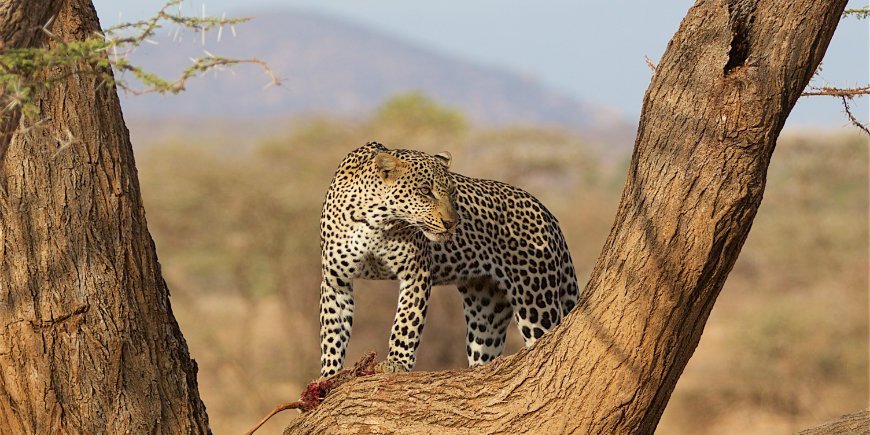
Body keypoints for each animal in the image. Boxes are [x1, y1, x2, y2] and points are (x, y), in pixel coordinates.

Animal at [318, 141, 579, 377]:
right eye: (425, 191)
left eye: (452, 192)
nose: (451, 223)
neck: (375, 220)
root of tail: (548, 213)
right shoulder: (335, 281)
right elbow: (332, 332)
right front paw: (328, 376)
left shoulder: (416, 273)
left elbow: (406, 322)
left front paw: (396, 363)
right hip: (486, 311)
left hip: (535, 301)